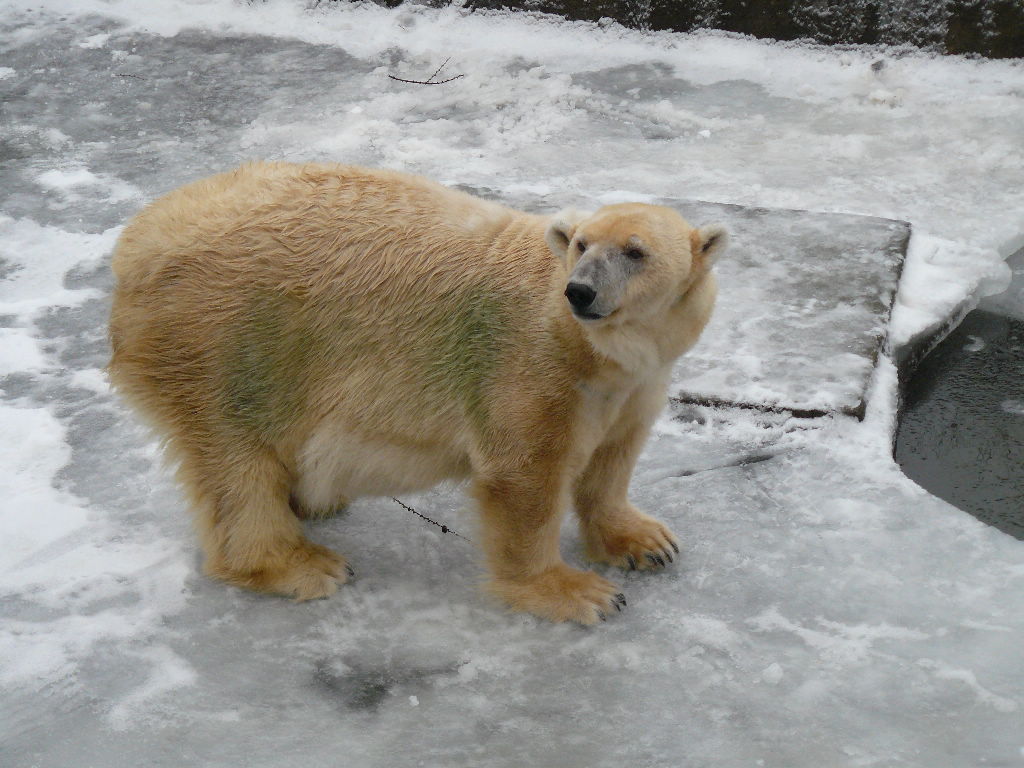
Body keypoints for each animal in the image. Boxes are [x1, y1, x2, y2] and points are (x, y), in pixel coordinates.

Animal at [108, 162, 727, 625]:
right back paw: (303, 564)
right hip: (228, 340)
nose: (581, 292)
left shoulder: (633, 383)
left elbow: (613, 457)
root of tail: (137, 242)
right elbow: (523, 477)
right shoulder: (527, 366)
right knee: (234, 458)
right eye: (580, 244)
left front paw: (648, 541)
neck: (590, 350)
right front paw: (578, 592)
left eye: (636, 251)